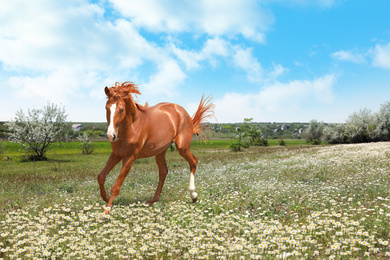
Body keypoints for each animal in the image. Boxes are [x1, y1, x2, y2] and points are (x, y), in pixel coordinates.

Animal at [96, 81, 215, 213]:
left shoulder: (130, 157)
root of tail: (182, 111)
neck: (132, 126)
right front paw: (106, 198)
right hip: (161, 151)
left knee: (193, 161)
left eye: (121, 110)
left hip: (182, 147)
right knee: (163, 171)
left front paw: (105, 212)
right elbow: (101, 177)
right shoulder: (116, 154)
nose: (110, 135)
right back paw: (154, 200)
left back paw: (193, 196)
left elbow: (116, 185)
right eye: (107, 108)